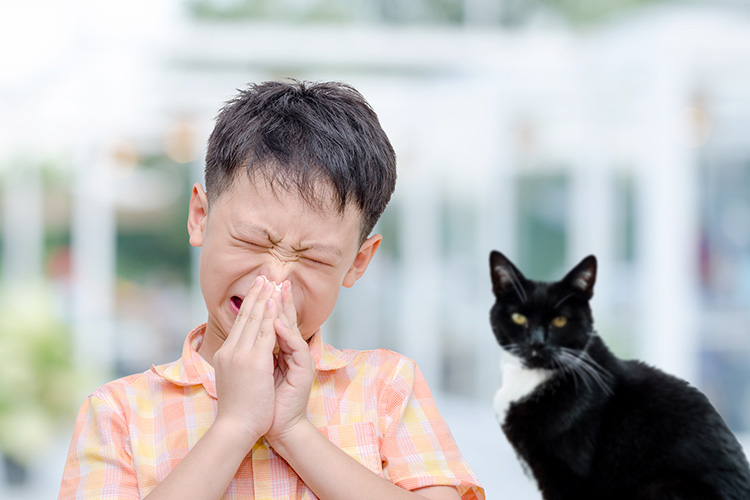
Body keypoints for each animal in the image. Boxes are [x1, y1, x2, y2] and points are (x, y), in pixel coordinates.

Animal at [490, 252, 750, 500]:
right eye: (518, 318)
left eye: (560, 320)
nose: (536, 342)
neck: (529, 380)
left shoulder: (568, 474)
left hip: (662, 487)